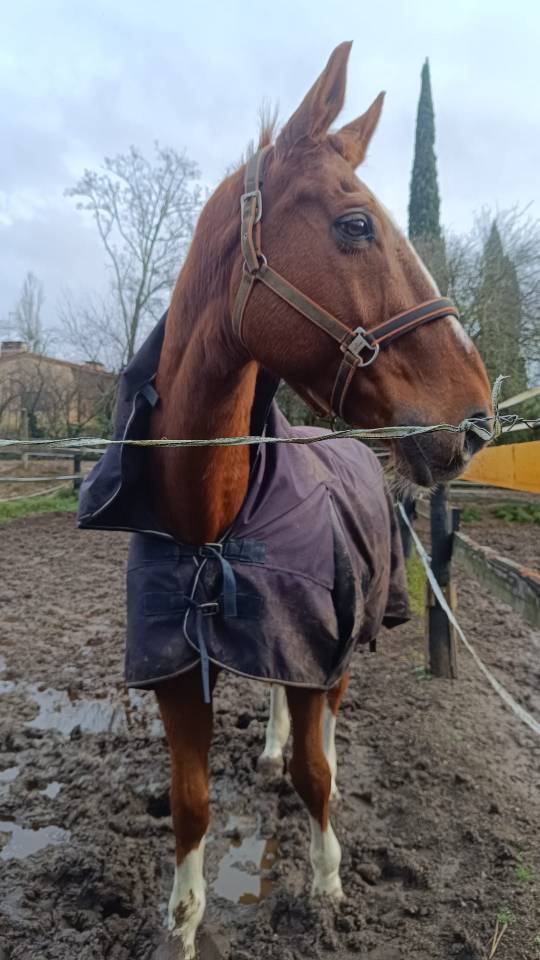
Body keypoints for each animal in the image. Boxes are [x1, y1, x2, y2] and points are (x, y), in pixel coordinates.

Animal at [79, 41, 491, 959]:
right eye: (355, 225)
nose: (478, 416)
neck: (213, 524)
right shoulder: (176, 674)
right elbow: (190, 806)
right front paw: (181, 926)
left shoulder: (319, 641)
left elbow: (319, 775)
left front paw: (330, 885)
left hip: (350, 628)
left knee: (328, 719)